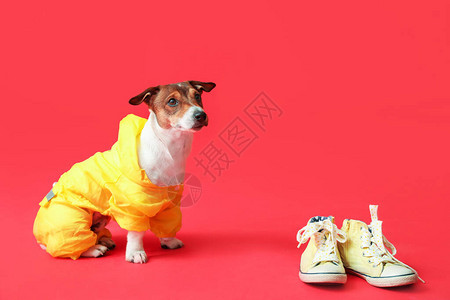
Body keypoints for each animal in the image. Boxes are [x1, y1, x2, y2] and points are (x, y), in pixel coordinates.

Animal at [32, 81, 215, 264]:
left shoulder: (169, 204)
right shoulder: (134, 206)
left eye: (197, 96)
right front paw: (135, 252)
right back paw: (93, 249)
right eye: (172, 101)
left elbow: (167, 225)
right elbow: (136, 233)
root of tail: (41, 241)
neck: (169, 149)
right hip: (73, 219)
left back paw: (103, 240)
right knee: (70, 246)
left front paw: (169, 241)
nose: (201, 115)